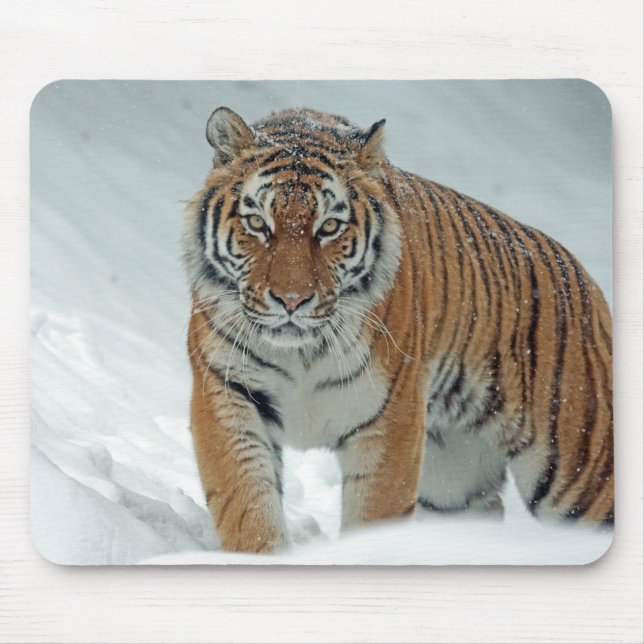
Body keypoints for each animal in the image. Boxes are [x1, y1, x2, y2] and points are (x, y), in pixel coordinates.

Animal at [182, 106, 613, 553]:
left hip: (580, 470)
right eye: (256, 223)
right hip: (453, 483)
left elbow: (373, 515)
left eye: (329, 228)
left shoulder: (390, 420)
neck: (302, 351)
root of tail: (585, 281)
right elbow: (248, 507)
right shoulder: (227, 395)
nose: (292, 300)